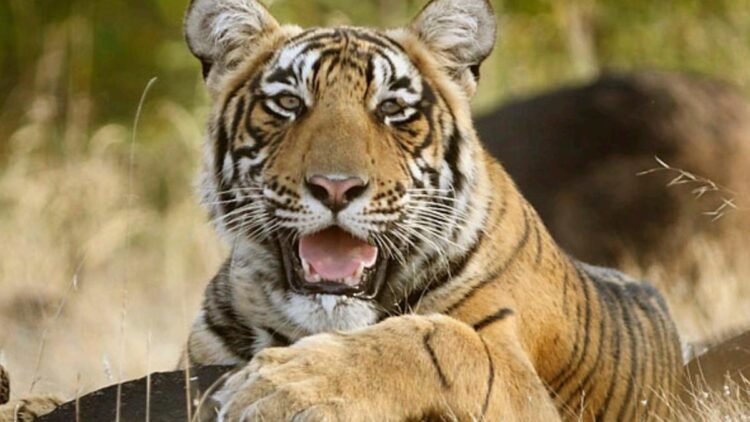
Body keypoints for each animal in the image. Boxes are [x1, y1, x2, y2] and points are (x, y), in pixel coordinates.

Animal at [183, 0, 683, 420]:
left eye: (391, 108)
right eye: (288, 103)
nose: (336, 187)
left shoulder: (522, 386)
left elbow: (434, 340)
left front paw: (278, 385)